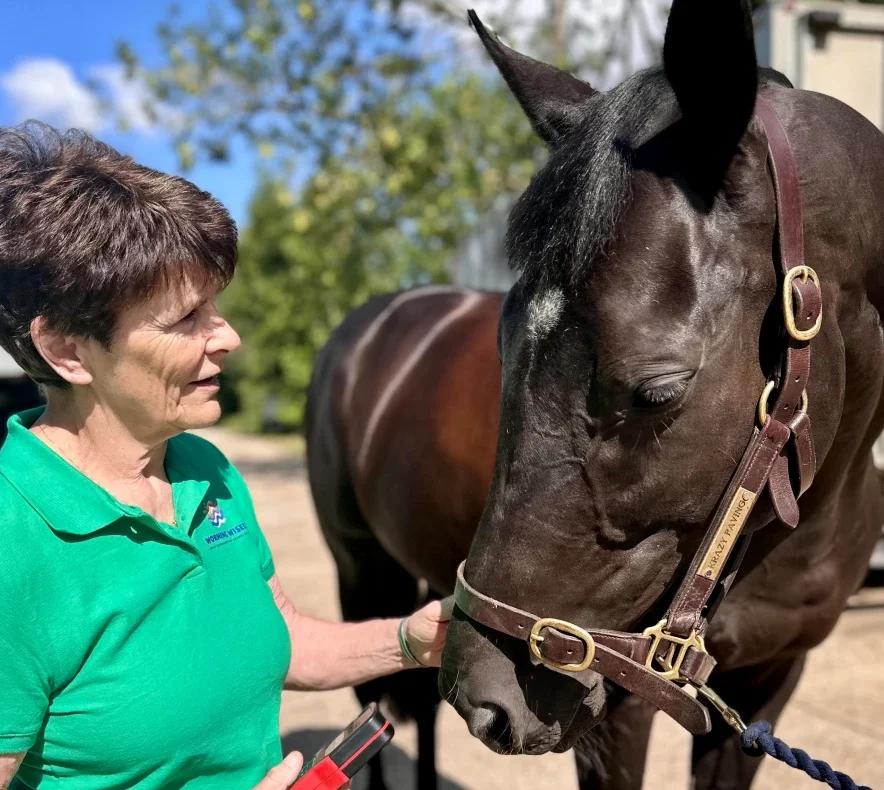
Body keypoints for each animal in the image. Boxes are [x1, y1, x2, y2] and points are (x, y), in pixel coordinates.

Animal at [305, 0, 884, 787]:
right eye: (503, 349)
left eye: (657, 391)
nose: (486, 698)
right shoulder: (618, 713)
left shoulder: (767, 683)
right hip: (361, 569)